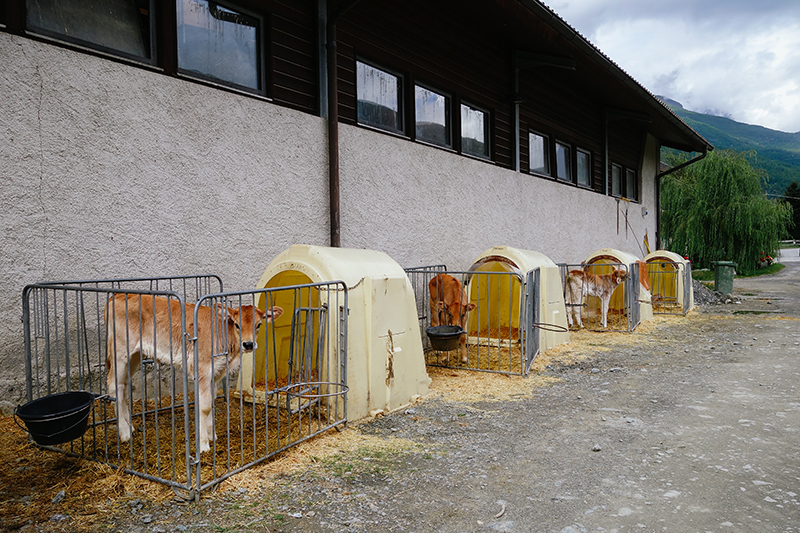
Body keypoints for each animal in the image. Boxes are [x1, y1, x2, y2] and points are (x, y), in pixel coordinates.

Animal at [104, 294, 282, 450]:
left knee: (123, 386)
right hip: (120, 351)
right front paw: (203, 445)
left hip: (135, 355)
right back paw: (124, 432)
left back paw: (130, 426)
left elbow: (211, 402)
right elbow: (204, 406)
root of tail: (115, 297)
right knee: (113, 385)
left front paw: (212, 436)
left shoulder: (216, 372)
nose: (248, 344)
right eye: (237, 325)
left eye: (258, 325)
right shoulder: (203, 369)